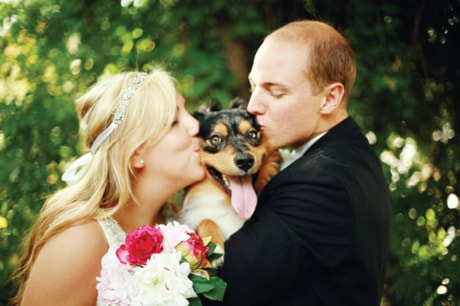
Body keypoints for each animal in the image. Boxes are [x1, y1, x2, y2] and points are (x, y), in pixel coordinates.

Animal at [180, 99, 280, 250]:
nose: (245, 161)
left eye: (252, 134)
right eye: (215, 139)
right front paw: (216, 245)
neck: (230, 206)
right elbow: (206, 220)